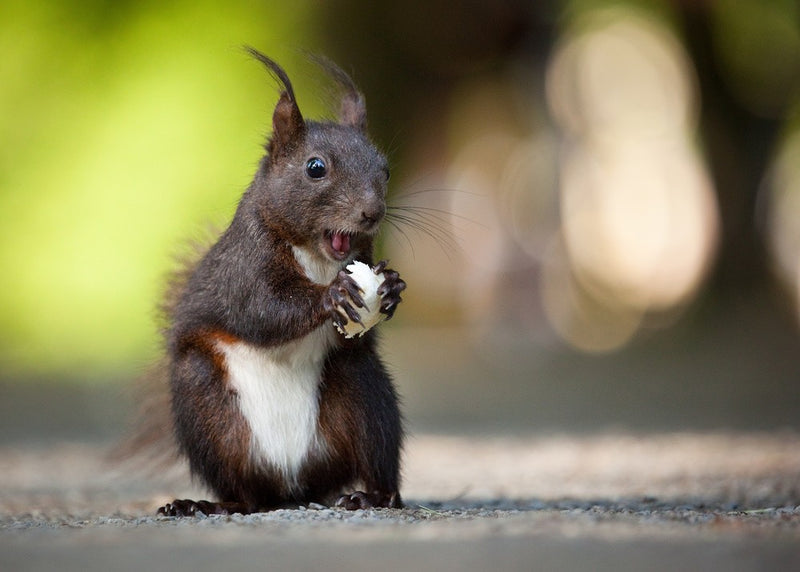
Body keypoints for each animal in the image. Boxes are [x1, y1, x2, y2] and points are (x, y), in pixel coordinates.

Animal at [153, 48, 406, 517]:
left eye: (384, 169)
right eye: (315, 168)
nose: (372, 213)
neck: (318, 257)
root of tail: (292, 485)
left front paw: (394, 286)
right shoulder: (243, 269)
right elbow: (262, 311)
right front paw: (332, 295)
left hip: (364, 393)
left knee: (374, 452)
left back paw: (373, 495)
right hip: (205, 407)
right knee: (245, 492)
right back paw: (210, 504)